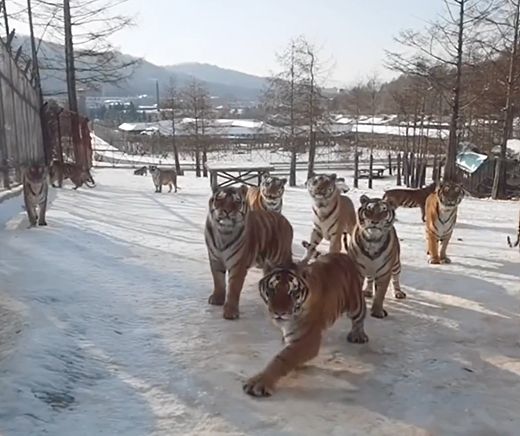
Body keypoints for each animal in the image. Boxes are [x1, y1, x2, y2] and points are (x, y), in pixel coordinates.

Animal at [204, 185, 292, 320]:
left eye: (236, 201)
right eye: (220, 199)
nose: (227, 211)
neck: (224, 232)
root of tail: (286, 221)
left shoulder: (238, 265)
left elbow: (234, 288)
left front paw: (230, 312)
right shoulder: (215, 260)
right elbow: (218, 281)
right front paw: (217, 299)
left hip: (281, 259)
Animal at [243, 252, 368, 398]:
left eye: (292, 292)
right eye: (272, 289)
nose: (279, 312)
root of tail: (343, 255)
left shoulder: (307, 339)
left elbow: (282, 358)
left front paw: (259, 382)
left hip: (356, 303)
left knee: (360, 317)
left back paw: (358, 335)